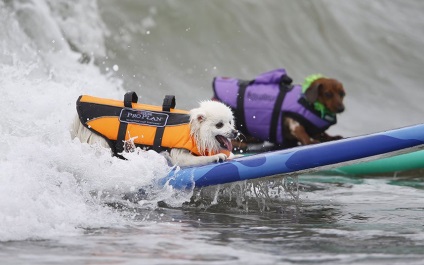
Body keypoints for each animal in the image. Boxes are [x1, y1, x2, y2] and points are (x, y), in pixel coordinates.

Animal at [72, 100, 238, 166]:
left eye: (230, 122)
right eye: (219, 125)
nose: (236, 132)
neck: (195, 131)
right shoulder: (180, 155)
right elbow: (195, 160)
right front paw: (218, 156)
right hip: (100, 141)